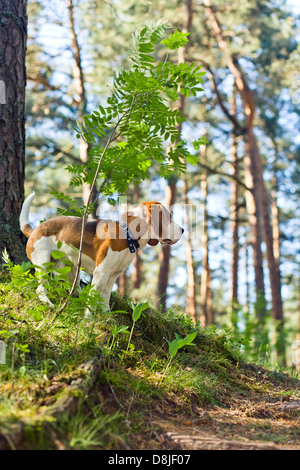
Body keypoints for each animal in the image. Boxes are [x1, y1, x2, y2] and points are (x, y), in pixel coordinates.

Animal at [19, 193, 184, 310]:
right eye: (168, 217)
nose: (183, 230)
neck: (127, 236)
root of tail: (34, 230)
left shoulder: (112, 275)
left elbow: (105, 299)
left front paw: (106, 316)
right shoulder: (101, 273)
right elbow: (94, 300)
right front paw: (89, 320)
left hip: (69, 270)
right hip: (44, 263)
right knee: (40, 289)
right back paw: (47, 303)